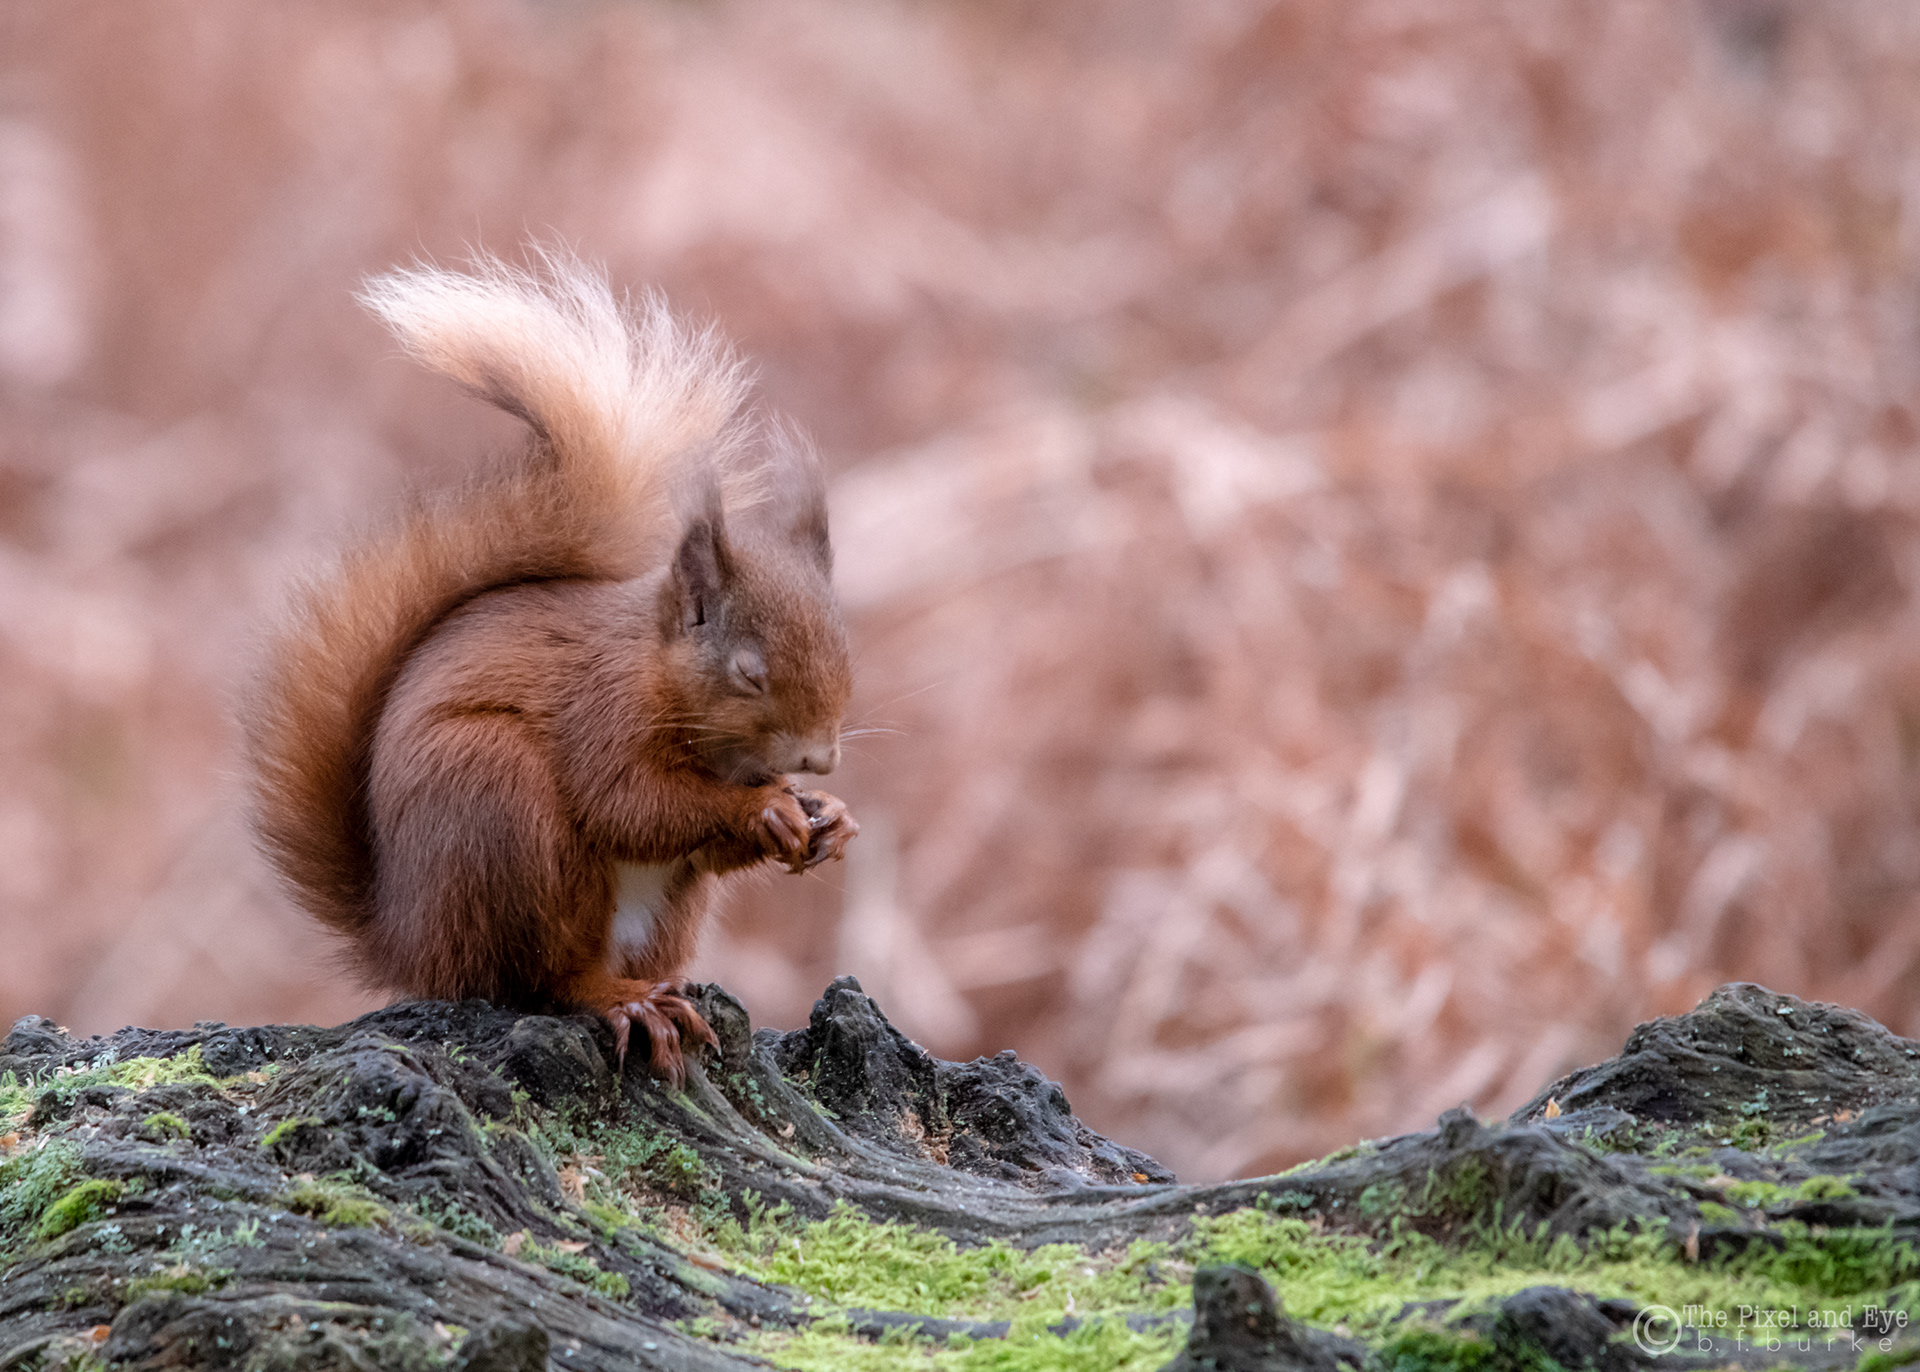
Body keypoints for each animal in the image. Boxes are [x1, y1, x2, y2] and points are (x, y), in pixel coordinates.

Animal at [242, 251, 857, 1084]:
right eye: (749, 673)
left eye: (846, 654)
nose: (820, 760)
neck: (653, 668)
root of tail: (410, 943)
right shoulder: (602, 711)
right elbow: (628, 804)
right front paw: (762, 809)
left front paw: (829, 820)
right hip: (501, 809)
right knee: (544, 978)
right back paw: (622, 1000)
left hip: (662, 907)